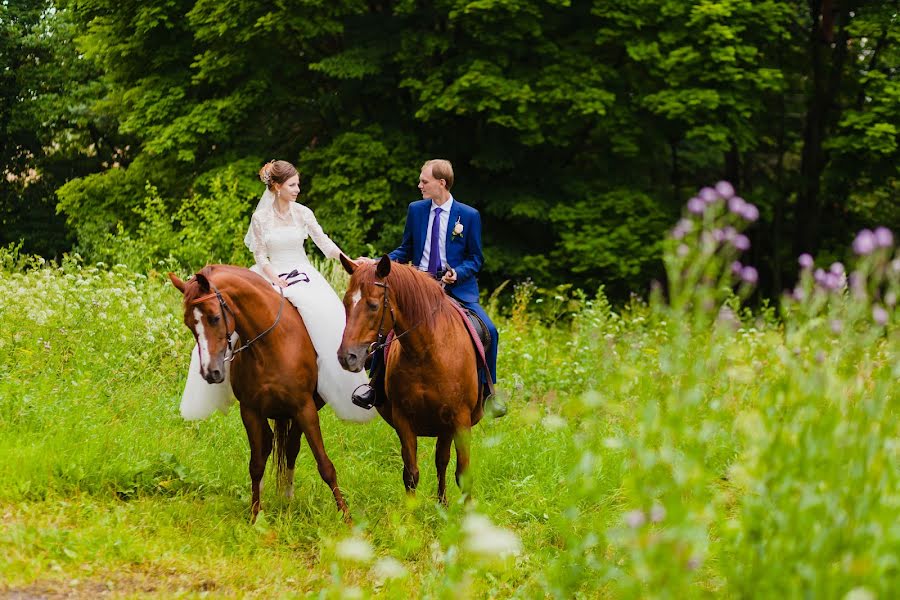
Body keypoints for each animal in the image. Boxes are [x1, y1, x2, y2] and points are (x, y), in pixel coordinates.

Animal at [169, 264, 348, 524]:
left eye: (214, 318)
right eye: (189, 324)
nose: (210, 372)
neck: (272, 344)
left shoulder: (305, 408)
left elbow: (325, 465)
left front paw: (347, 517)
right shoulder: (250, 411)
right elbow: (256, 464)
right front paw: (255, 517)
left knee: (291, 447)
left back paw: (287, 497)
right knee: (271, 446)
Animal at [336, 255, 482, 504]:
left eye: (373, 305)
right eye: (346, 303)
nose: (347, 357)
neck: (425, 351)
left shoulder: (461, 419)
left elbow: (463, 474)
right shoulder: (403, 418)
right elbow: (411, 473)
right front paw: (409, 513)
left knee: (442, 462)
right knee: (440, 461)